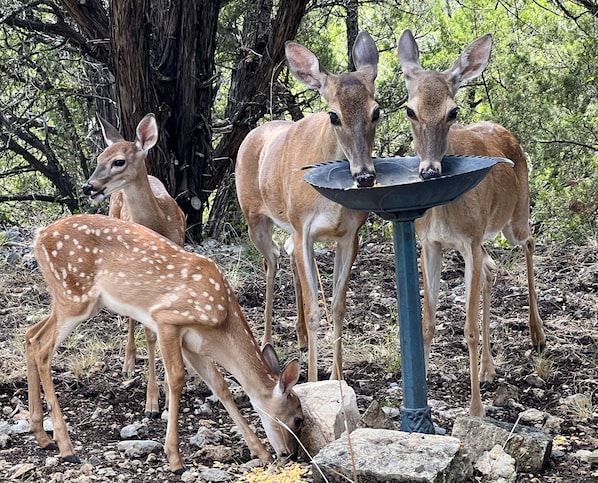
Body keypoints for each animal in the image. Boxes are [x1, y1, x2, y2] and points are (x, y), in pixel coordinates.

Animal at [27, 214, 304, 474]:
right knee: (43, 350)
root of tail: (39, 236)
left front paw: (260, 451)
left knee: (31, 335)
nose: (290, 455)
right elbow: (177, 378)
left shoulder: (194, 344)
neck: (221, 323)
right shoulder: (167, 319)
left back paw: (42, 436)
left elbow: (220, 386)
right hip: (75, 297)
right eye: (298, 419)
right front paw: (174, 459)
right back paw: (66, 447)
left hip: (76, 300)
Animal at [82, 111, 185, 418]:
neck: (159, 224)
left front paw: (170, 389)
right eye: (99, 158)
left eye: (118, 161)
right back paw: (128, 361)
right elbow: (150, 335)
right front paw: (152, 402)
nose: (88, 186)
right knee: (130, 316)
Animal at [237, 32, 382, 384]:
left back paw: (301, 338)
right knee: (272, 260)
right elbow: (317, 309)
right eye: (334, 115)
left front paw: (338, 376)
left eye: (376, 111)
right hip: (255, 218)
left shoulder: (349, 235)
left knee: (287, 254)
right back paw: (267, 341)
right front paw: (315, 379)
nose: (365, 176)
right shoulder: (304, 227)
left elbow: (339, 305)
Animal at [398, 29, 548, 416]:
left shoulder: (469, 240)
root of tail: (505, 129)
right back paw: (488, 369)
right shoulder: (431, 243)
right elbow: (427, 322)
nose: (429, 170)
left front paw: (476, 409)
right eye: (409, 109)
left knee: (529, 243)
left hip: (513, 218)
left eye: (453, 110)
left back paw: (537, 333)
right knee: (493, 271)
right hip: (484, 238)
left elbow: (467, 329)